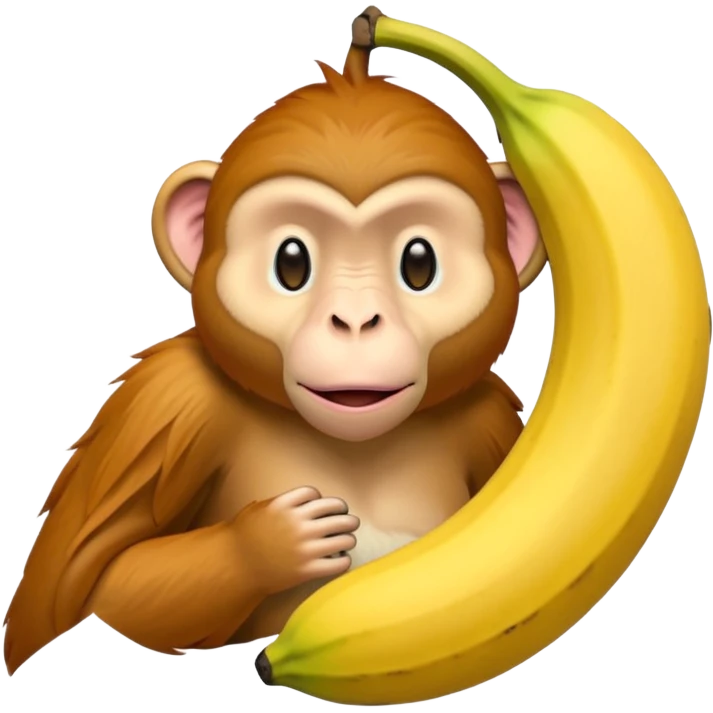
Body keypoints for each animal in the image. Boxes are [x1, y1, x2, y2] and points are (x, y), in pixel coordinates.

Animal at [1, 44, 547, 675]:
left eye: (419, 264)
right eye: (291, 263)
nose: (354, 319)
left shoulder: (490, 423)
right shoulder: (165, 411)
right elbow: (109, 581)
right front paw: (269, 543)